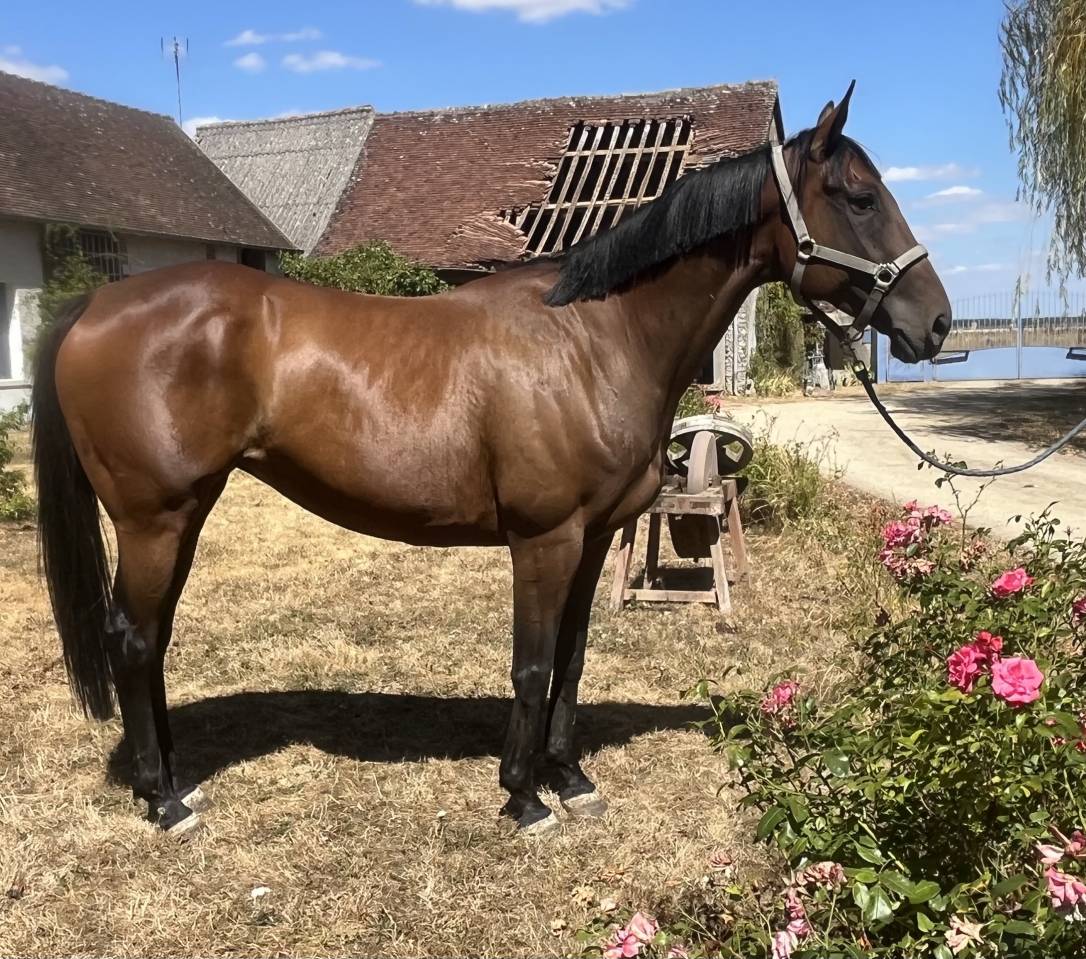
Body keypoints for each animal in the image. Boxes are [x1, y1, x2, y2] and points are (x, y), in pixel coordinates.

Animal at [32, 83, 950, 838]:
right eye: (860, 197)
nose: (935, 323)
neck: (595, 338)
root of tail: (95, 303)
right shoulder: (543, 540)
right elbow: (532, 662)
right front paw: (523, 796)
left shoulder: (593, 538)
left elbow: (572, 660)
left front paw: (571, 778)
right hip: (154, 517)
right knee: (131, 637)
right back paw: (163, 799)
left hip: (184, 514)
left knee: (151, 637)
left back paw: (175, 776)